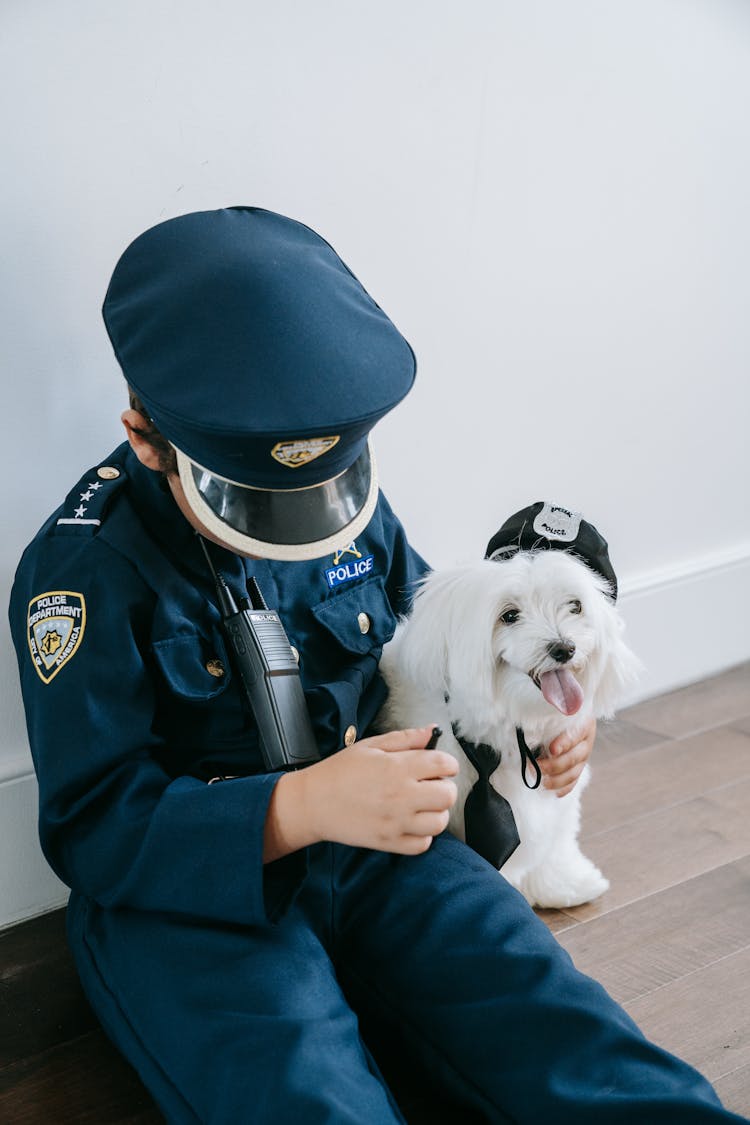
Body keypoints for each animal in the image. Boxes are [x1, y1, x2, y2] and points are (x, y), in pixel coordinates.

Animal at [382, 506, 638, 909]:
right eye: (510, 615)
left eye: (575, 606)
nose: (563, 648)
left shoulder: (557, 796)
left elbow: (555, 841)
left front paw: (562, 883)